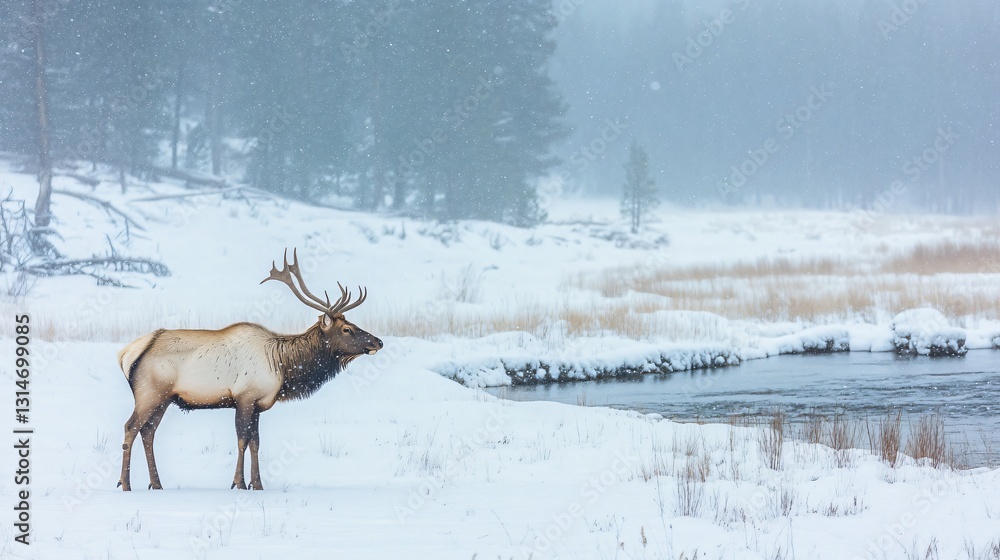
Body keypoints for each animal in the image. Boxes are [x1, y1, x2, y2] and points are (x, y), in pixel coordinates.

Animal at [116, 248, 382, 491]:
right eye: (347, 329)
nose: (378, 342)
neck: (283, 368)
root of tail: (126, 354)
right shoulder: (245, 398)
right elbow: (242, 440)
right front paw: (239, 483)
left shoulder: (258, 403)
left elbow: (256, 442)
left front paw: (258, 484)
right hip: (149, 393)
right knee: (131, 427)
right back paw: (125, 484)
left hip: (164, 398)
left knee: (148, 432)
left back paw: (156, 484)